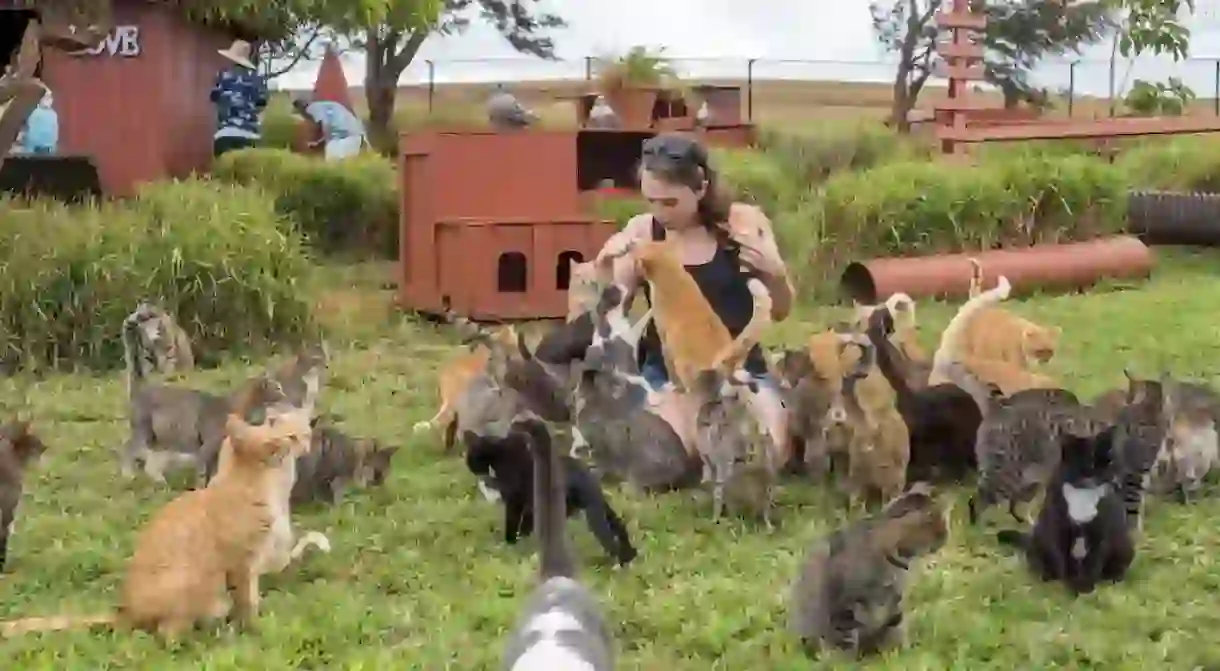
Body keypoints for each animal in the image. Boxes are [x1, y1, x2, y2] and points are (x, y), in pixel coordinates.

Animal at [790, 483, 951, 663]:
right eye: (938, 526)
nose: (946, 537)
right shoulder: (843, 606)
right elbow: (843, 644)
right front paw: (844, 664)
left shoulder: (895, 601)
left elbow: (894, 629)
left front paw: (899, 656)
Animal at [1000, 429, 1132, 597]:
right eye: (1088, 463)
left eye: (1108, 461)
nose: (1112, 476)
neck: (1083, 496)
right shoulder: (1060, 530)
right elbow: (1066, 561)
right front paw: (1072, 588)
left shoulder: (1101, 533)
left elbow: (1093, 561)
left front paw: (1085, 588)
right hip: (1039, 538)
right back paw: (1047, 575)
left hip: (1125, 545)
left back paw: (1113, 578)